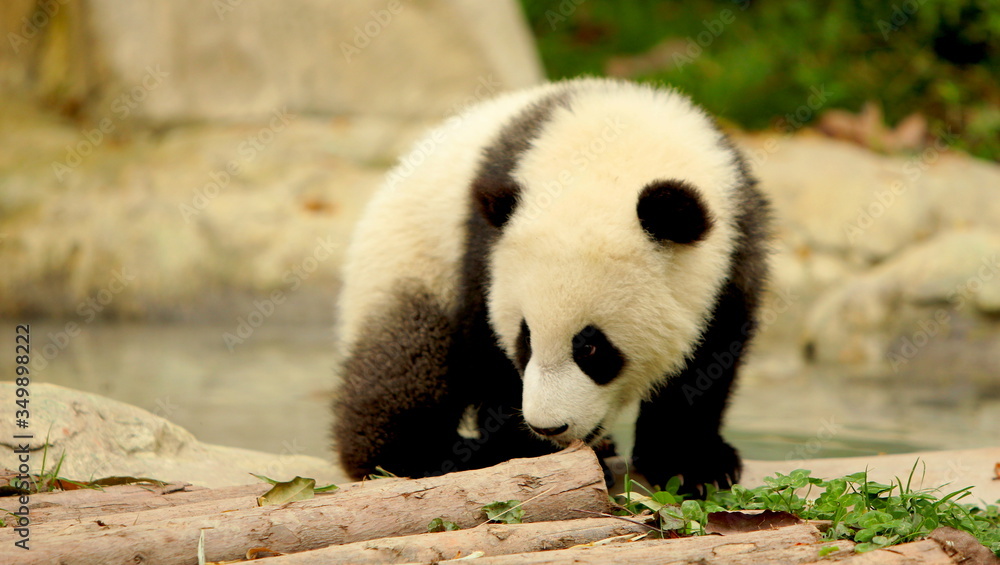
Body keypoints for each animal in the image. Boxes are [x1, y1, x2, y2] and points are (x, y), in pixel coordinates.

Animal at [333, 77, 770, 495]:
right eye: (525, 338)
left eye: (591, 347)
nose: (549, 427)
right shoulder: (483, 250)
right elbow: (489, 355)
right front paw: (525, 453)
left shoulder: (735, 246)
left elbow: (709, 359)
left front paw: (694, 465)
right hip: (410, 267)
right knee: (405, 365)